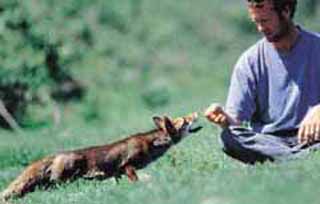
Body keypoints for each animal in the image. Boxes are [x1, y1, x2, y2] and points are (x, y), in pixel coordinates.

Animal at [1, 113, 202, 201]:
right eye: (186, 120)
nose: (196, 113)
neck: (152, 144)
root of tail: (55, 154)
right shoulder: (127, 167)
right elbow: (140, 180)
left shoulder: (117, 174)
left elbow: (119, 185)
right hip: (61, 181)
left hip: (50, 183)